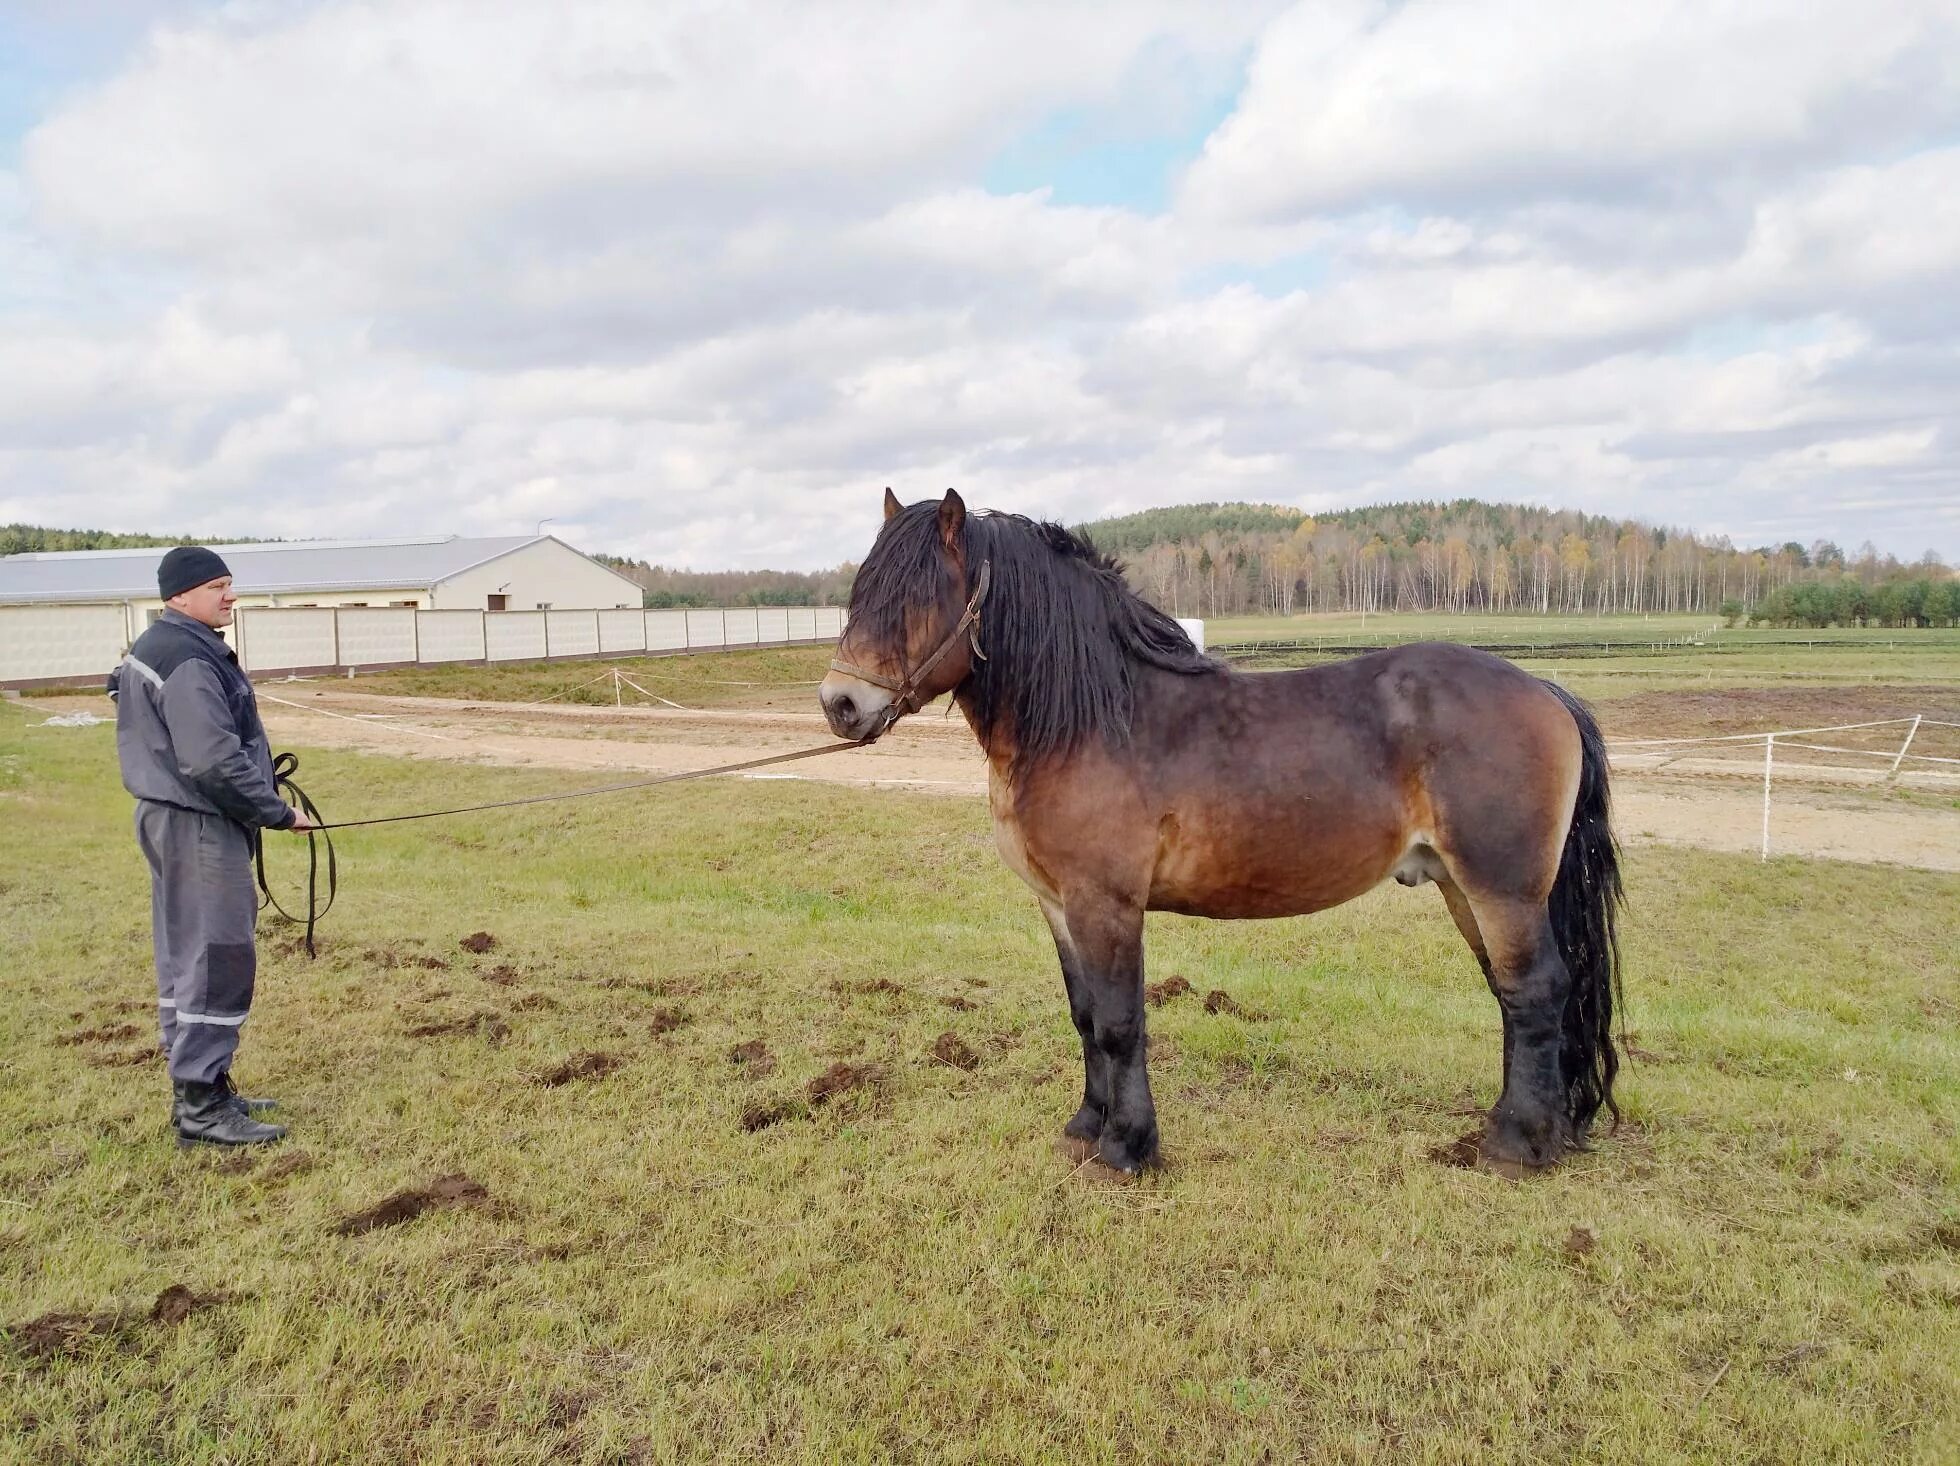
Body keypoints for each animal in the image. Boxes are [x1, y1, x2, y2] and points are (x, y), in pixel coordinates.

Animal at [815, 491, 1622, 1175]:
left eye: (917, 598)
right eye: (863, 592)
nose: (840, 704)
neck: (1095, 720)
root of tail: (1545, 690)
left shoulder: (1107, 904)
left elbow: (1118, 1022)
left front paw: (1126, 1149)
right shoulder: (1058, 905)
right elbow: (1084, 1017)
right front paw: (1085, 1128)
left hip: (1501, 890)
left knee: (1534, 991)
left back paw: (1515, 1145)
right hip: (1464, 888)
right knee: (1512, 995)